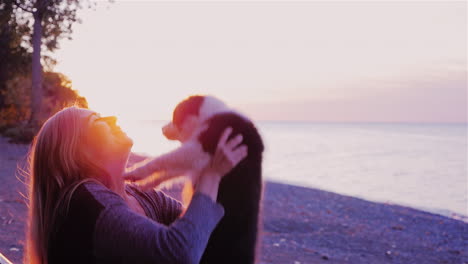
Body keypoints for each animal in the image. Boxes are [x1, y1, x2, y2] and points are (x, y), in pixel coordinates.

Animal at [124, 95, 264, 264]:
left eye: (175, 115)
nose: (162, 129)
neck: (209, 115)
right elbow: (168, 171)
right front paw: (146, 182)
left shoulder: (202, 149)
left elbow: (163, 160)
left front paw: (135, 171)